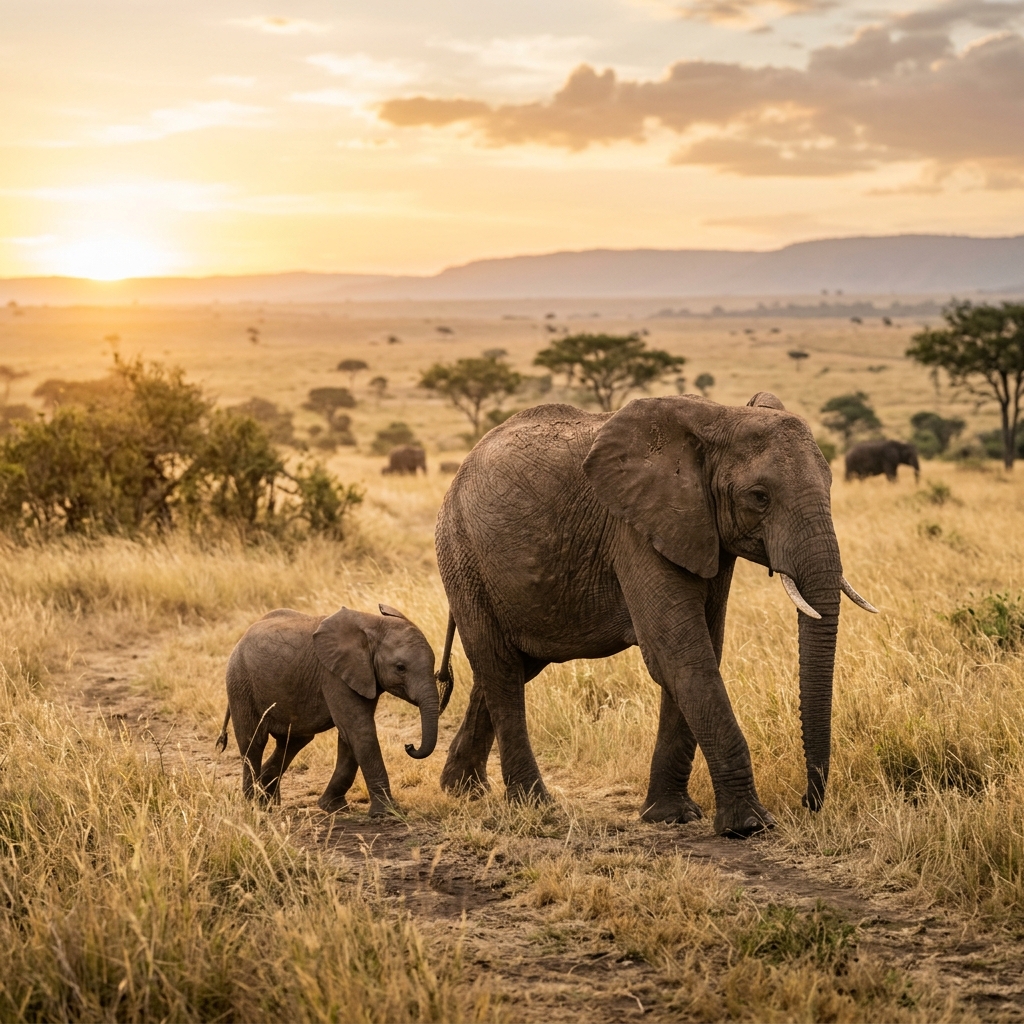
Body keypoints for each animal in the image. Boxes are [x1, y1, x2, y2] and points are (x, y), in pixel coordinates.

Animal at [215, 603, 452, 815]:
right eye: (400, 668)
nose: (409, 745)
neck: (373, 625)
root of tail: (243, 636)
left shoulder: (362, 675)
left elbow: (349, 736)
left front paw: (333, 807)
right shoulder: (334, 675)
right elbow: (359, 730)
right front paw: (388, 813)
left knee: (292, 742)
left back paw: (267, 801)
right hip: (240, 683)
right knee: (253, 742)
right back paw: (253, 804)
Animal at [433, 394, 876, 837]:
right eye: (759, 496)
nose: (809, 802)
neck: (719, 417)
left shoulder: (703, 533)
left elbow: (701, 652)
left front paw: (670, 816)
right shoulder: (634, 531)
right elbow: (681, 655)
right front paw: (749, 826)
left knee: (507, 668)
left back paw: (462, 790)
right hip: (462, 555)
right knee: (500, 670)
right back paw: (534, 805)